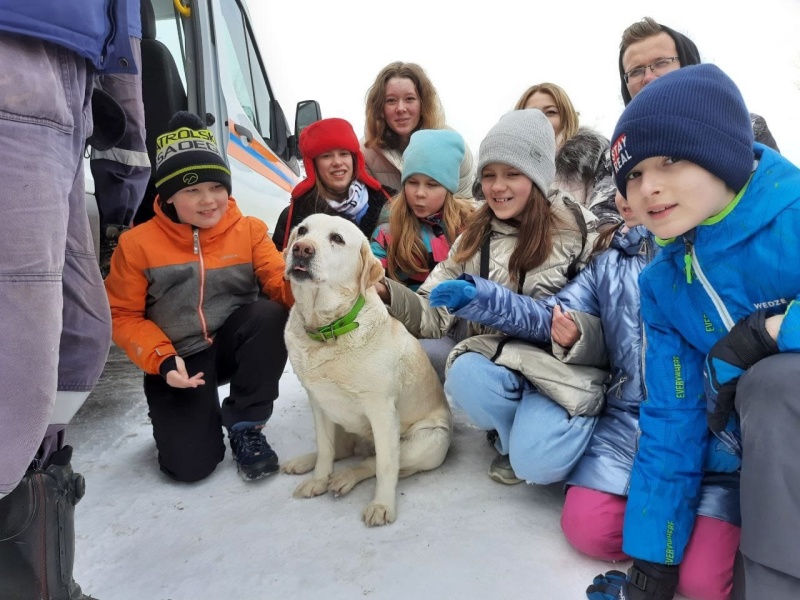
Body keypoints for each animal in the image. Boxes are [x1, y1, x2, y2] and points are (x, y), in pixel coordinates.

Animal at [284, 214, 454, 524]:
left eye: (337, 239)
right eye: (302, 231)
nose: (301, 249)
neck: (329, 330)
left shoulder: (383, 411)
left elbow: (385, 465)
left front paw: (382, 505)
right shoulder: (318, 403)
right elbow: (325, 449)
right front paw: (318, 481)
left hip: (429, 441)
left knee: (372, 461)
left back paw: (345, 478)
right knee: (341, 450)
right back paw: (304, 463)